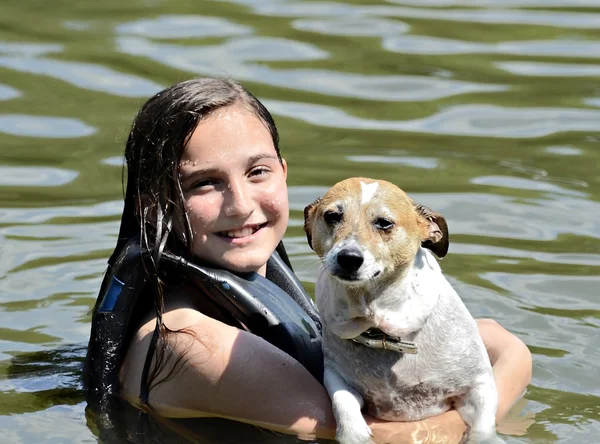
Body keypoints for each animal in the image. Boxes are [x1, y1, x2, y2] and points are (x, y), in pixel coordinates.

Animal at [302, 178, 500, 444]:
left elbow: (483, 428)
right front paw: (355, 434)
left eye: (384, 223)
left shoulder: (478, 386)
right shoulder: (336, 376)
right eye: (332, 216)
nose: (348, 257)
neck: (381, 329)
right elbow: (343, 402)